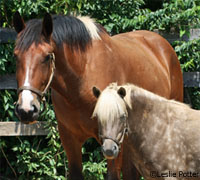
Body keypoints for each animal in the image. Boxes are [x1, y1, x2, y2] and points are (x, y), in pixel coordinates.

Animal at [12, 11, 183, 180]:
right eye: (15, 56)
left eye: (47, 56)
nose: (26, 110)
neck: (82, 79)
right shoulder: (70, 139)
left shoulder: (112, 140)